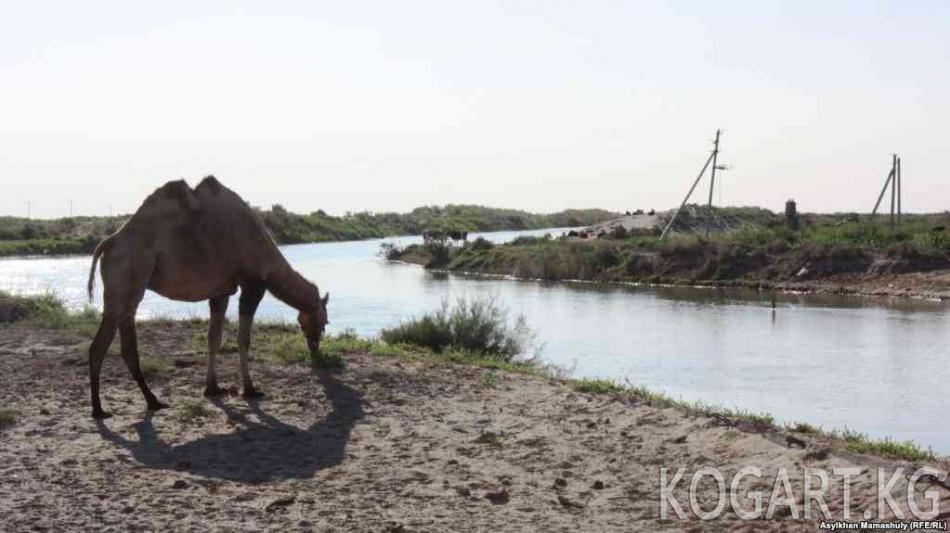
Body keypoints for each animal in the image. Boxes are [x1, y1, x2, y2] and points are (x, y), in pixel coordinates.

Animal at [86, 177, 330, 418]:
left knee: (127, 346)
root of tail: (106, 244)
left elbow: (214, 337)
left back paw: (151, 401)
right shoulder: (253, 283)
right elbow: (243, 339)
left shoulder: (221, 291)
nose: (314, 346)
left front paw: (212, 388)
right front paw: (249, 389)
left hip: (128, 293)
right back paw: (100, 409)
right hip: (126, 281)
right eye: (325, 321)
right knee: (100, 346)